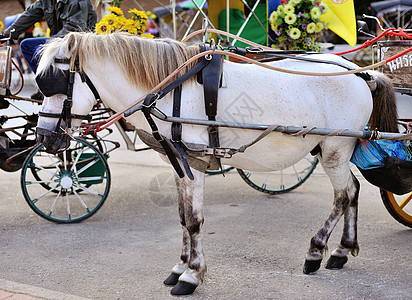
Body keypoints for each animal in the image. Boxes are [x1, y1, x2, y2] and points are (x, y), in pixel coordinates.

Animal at [36, 32, 400, 296]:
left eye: (55, 82)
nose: (44, 138)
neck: (169, 89)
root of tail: (362, 73)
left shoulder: (193, 163)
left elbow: (195, 221)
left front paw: (192, 275)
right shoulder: (179, 162)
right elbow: (183, 218)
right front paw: (179, 268)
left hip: (336, 148)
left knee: (342, 195)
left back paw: (316, 251)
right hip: (331, 148)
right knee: (353, 190)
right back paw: (341, 251)